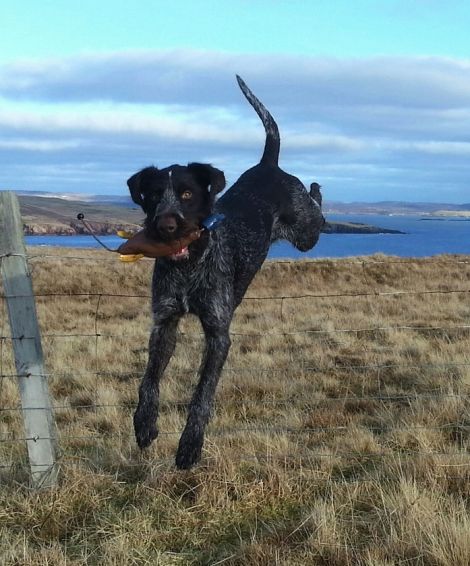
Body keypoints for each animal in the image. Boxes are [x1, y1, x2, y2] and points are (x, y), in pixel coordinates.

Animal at [126, 74, 324, 470]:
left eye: (187, 194)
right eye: (153, 195)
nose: (166, 226)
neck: (189, 264)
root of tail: (268, 165)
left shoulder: (218, 333)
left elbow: (202, 394)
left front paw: (189, 445)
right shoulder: (164, 321)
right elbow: (149, 380)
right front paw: (144, 424)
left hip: (306, 232)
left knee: (318, 209)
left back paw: (316, 187)